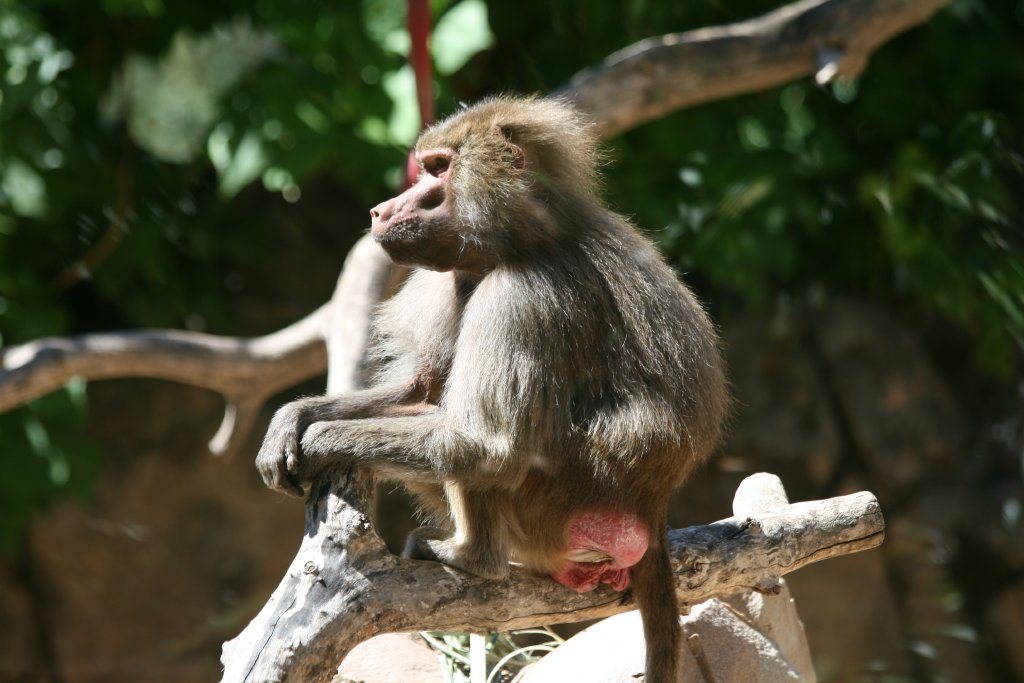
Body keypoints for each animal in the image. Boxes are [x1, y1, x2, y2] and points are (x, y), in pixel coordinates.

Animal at [256, 96, 728, 683]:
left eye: (439, 170)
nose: (379, 212)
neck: (523, 240)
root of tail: (652, 507)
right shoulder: (456, 277)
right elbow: (422, 390)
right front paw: (292, 420)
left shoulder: (521, 294)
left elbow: (488, 444)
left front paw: (316, 439)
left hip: (554, 505)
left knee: (480, 448)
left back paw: (471, 558)